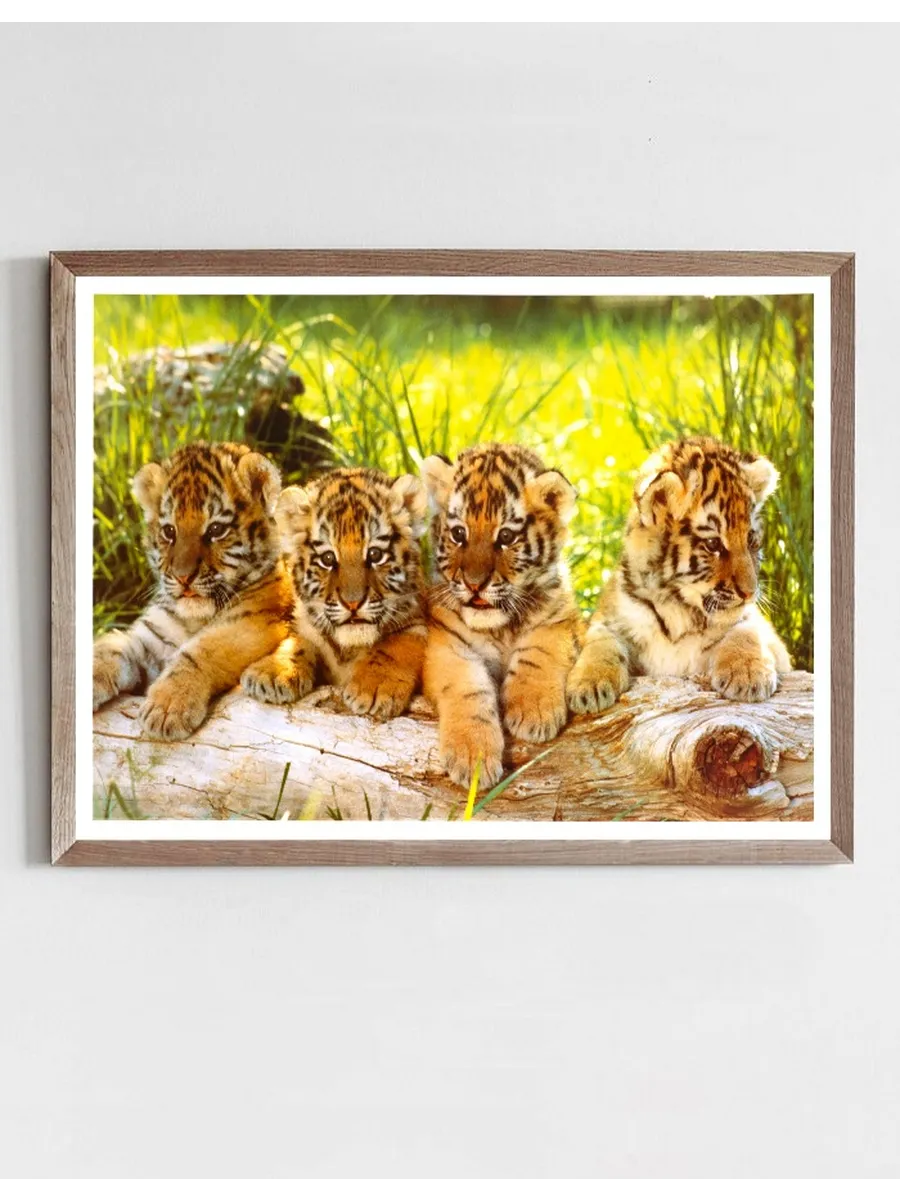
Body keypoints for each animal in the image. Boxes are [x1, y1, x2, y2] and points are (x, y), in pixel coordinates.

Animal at [92, 441, 294, 740]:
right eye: (169, 531)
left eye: (216, 529)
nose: (183, 577)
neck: (194, 617)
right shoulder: (151, 639)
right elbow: (110, 648)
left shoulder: (252, 624)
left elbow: (199, 651)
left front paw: (167, 708)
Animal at [241, 467, 428, 718]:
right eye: (328, 559)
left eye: (375, 555)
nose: (353, 604)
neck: (348, 648)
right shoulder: (306, 627)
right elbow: (297, 643)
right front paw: (271, 673)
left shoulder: (417, 624)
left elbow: (393, 647)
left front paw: (373, 688)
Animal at [422, 443, 583, 789]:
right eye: (459, 533)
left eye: (506, 537)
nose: (474, 584)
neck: (499, 627)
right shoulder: (446, 643)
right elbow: (468, 687)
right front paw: (472, 757)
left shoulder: (560, 620)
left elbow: (539, 653)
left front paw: (533, 711)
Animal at [566, 435, 791, 715]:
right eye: (713, 544)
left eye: (751, 540)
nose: (750, 593)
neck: (678, 610)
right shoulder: (609, 619)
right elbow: (600, 641)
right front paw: (588, 686)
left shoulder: (762, 633)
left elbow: (747, 629)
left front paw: (748, 676)